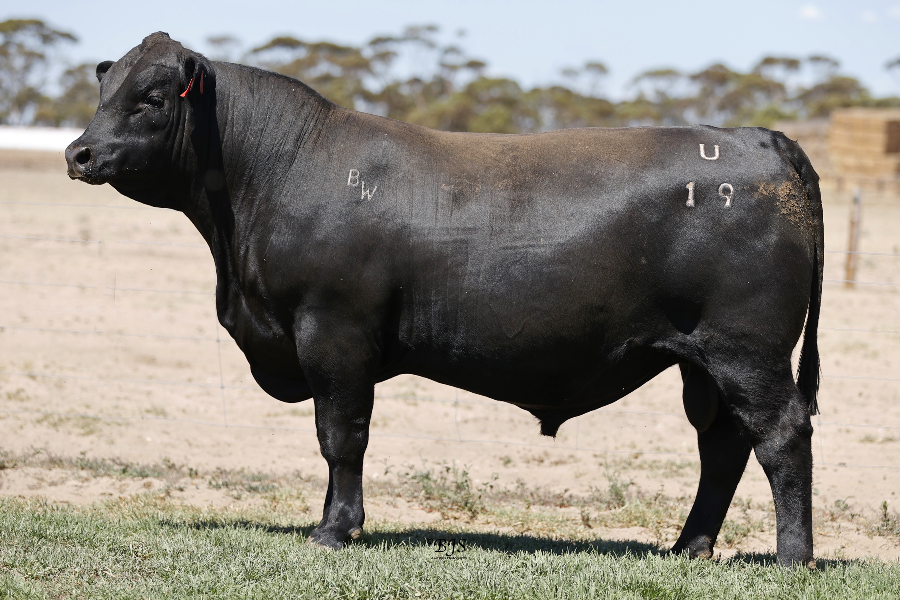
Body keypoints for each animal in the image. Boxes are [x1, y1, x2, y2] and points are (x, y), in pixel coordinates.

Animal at [65, 33, 823, 567]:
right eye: (106, 90)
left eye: (152, 97)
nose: (78, 153)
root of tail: (754, 138)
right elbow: (334, 439)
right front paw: (329, 519)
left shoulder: (334, 332)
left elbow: (342, 434)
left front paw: (335, 529)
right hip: (703, 360)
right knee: (721, 446)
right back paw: (688, 547)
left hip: (747, 350)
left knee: (781, 434)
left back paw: (792, 557)